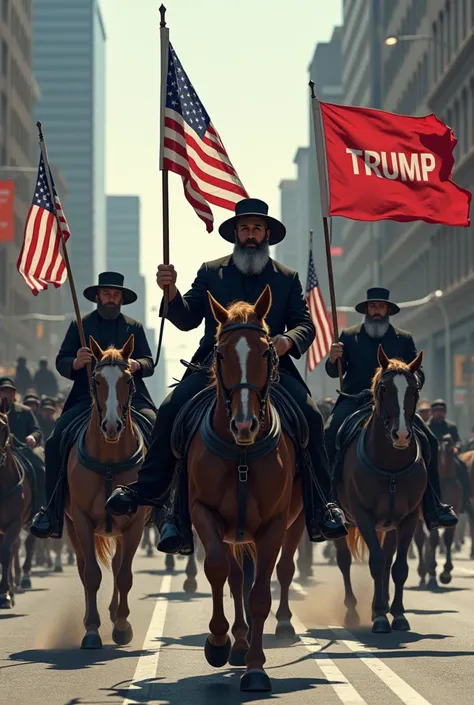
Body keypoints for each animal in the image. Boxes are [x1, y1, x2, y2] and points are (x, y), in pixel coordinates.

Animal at [65, 336, 152, 648]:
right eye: (96, 380)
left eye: (128, 380)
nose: (112, 426)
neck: (109, 461)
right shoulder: (80, 519)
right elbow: (91, 574)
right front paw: (91, 630)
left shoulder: (134, 523)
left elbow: (124, 574)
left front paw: (123, 626)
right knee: (83, 567)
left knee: (116, 566)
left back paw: (116, 615)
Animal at [187, 288, 306, 692]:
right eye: (221, 354)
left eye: (267, 352)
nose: (244, 424)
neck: (240, 452)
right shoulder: (204, 514)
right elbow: (218, 569)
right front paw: (218, 641)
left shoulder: (273, 525)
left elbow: (259, 595)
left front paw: (256, 669)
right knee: (236, 576)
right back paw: (236, 642)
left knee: (271, 574)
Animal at [334, 346, 426, 632]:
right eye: (384, 388)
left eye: (415, 389)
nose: (402, 435)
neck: (390, 467)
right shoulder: (363, 515)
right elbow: (374, 562)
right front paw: (380, 616)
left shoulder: (407, 519)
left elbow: (398, 567)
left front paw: (397, 614)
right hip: (343, 522)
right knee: (344, 561)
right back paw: (353, 611)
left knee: (387, 561)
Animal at [414, 434, 462, 588]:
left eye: (452, 446)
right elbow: (433, 539)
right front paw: (433, 572)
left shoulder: (455, 512)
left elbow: (448, 539)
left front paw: (446, 572)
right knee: (420, 539)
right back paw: (423, 571)